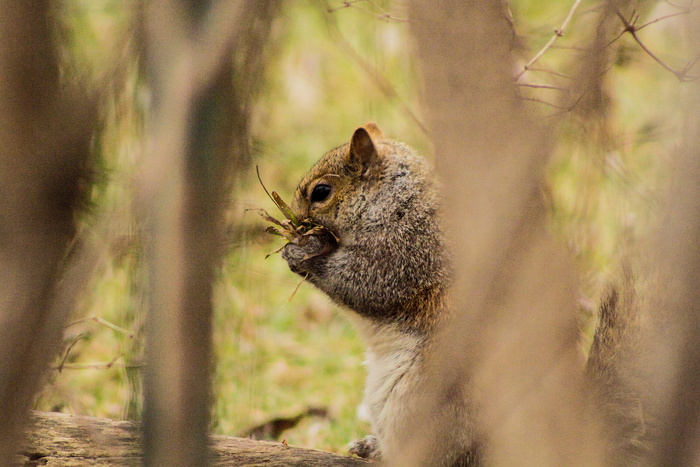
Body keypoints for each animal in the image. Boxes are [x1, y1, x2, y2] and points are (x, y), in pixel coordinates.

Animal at [282, 122, 478, 466]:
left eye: (321, 192)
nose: (290, 218)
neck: (394, 201)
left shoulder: (404, 253)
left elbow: (363, 284)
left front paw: (302, 250)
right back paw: (371, 447)